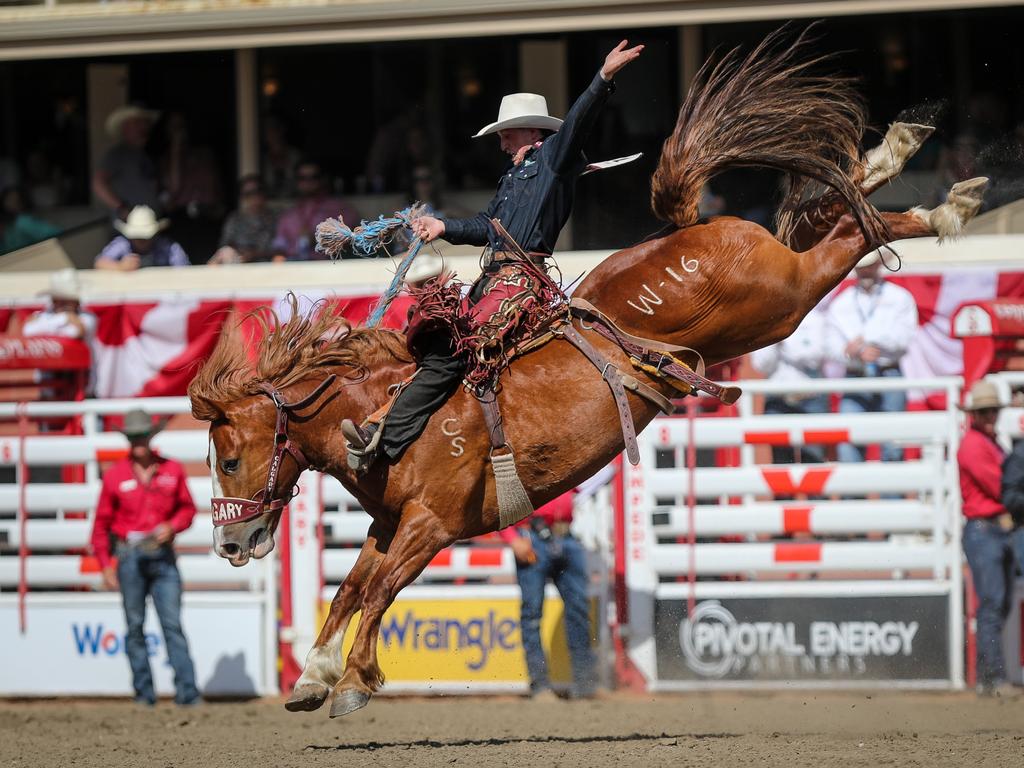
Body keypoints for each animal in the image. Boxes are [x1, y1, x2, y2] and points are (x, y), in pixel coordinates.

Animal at [184, 28, 983, 716]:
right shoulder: (388, 523)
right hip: (777, 296)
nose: (229, 546)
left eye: (229, 457)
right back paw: (913, 171)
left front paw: (351, 681)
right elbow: (351, 587)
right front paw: (313, 675)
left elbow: (378, 590)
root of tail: (692, 227)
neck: (382, 407)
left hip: (780, 302)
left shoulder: (430, 525)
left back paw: (942, 203)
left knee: (844, 236)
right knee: (840, 213)